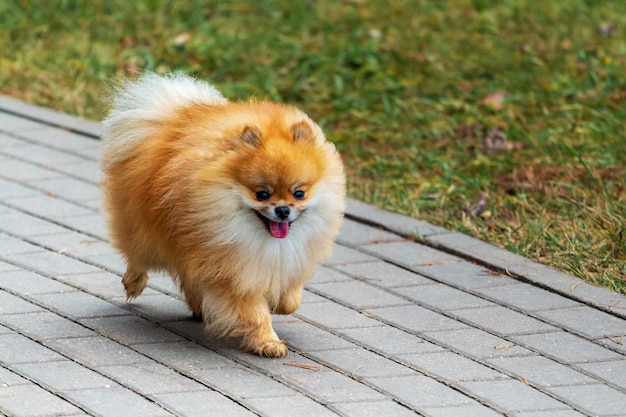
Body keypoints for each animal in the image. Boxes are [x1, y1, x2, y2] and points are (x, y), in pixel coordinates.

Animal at [102, 73, 346, 356]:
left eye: (299, 193)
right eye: (262, 194)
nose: (283, 210)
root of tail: (170, 117)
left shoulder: (288, 258)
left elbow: (290, 298)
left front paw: (280, 304)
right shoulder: (232, 270)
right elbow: (254, 312)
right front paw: (268, 342)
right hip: (146, 233)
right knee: (139, 256)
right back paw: (134, 282)